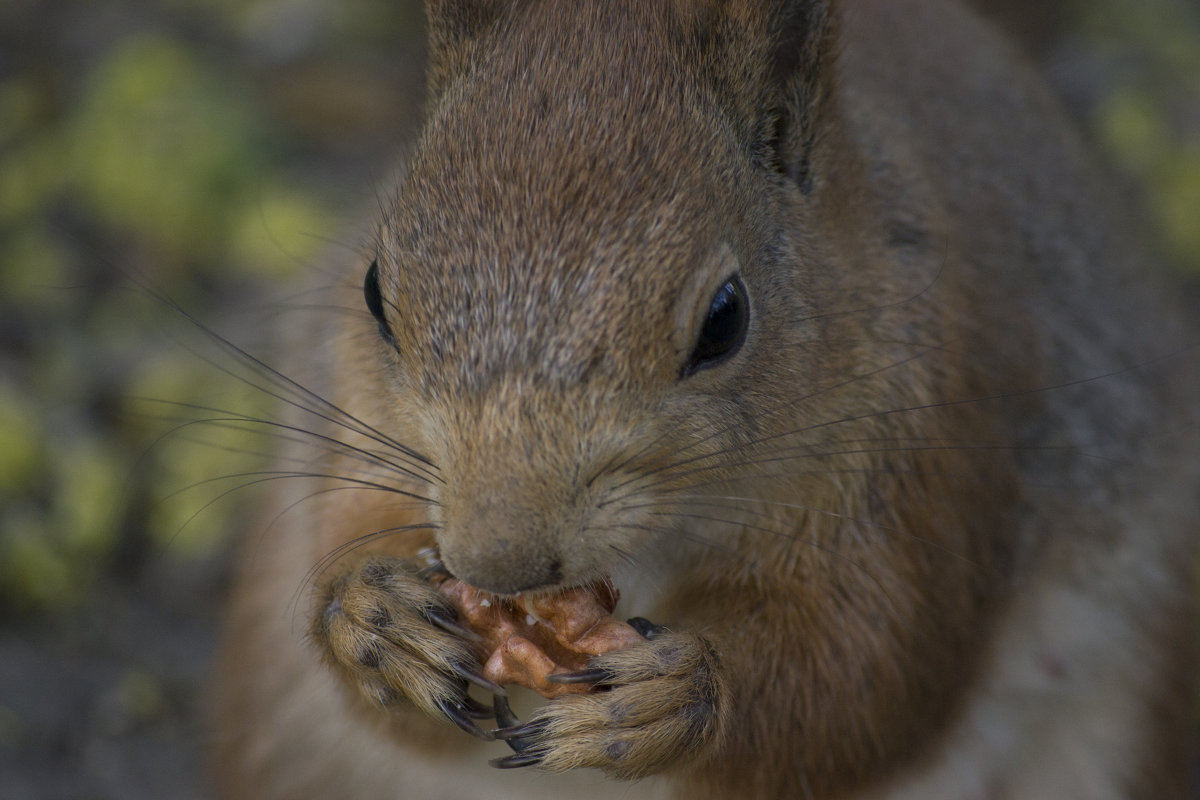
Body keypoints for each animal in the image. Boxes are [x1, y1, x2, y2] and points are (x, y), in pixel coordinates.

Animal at [211, 1, 1195, 800]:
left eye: (725, 320)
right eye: (375, 291)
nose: (500, 562)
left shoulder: (931, 450)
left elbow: (872, 673)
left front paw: (674, 697)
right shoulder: (355, 418)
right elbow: (348, 549)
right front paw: (373, 615)